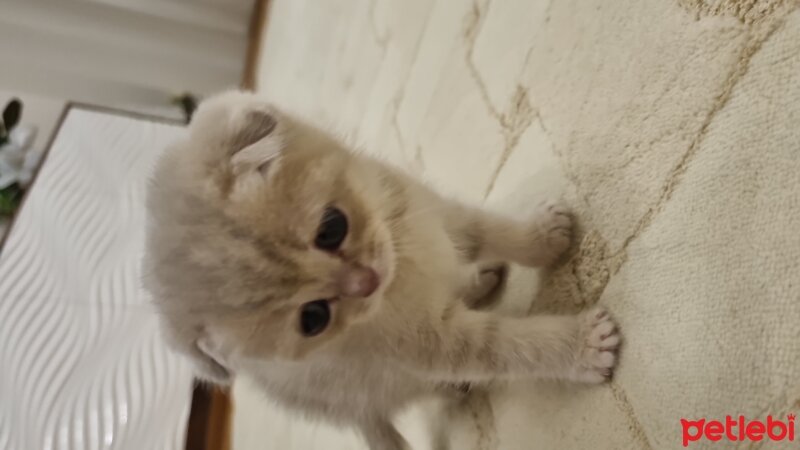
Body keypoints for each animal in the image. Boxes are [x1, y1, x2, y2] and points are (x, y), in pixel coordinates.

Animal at [144, 91, 620, 450]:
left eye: (332, 228)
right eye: (313, 319)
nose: (366, 281)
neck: (404, 269)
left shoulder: (430, 209)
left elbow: (485, 229)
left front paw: (544, 237)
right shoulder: (429, 345)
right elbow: (508, 347)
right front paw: (582, 345)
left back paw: (478, 280)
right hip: (362, 391)